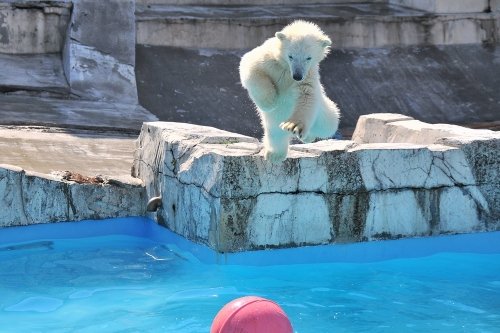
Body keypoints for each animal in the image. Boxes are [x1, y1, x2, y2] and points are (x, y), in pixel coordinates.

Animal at [238, 19, 340, 162]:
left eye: (308, 58)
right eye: (291, 56)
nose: (297, 76)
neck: (286, 67)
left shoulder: (308, 75)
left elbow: (307, 96)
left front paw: (293, 126)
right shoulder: (268, 59)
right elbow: (250, 66)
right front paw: (270, 102)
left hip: (322, 113)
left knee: (328, 123)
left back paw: (307, 136)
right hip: (273, 122)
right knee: (275, 134)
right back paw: (274, 154)